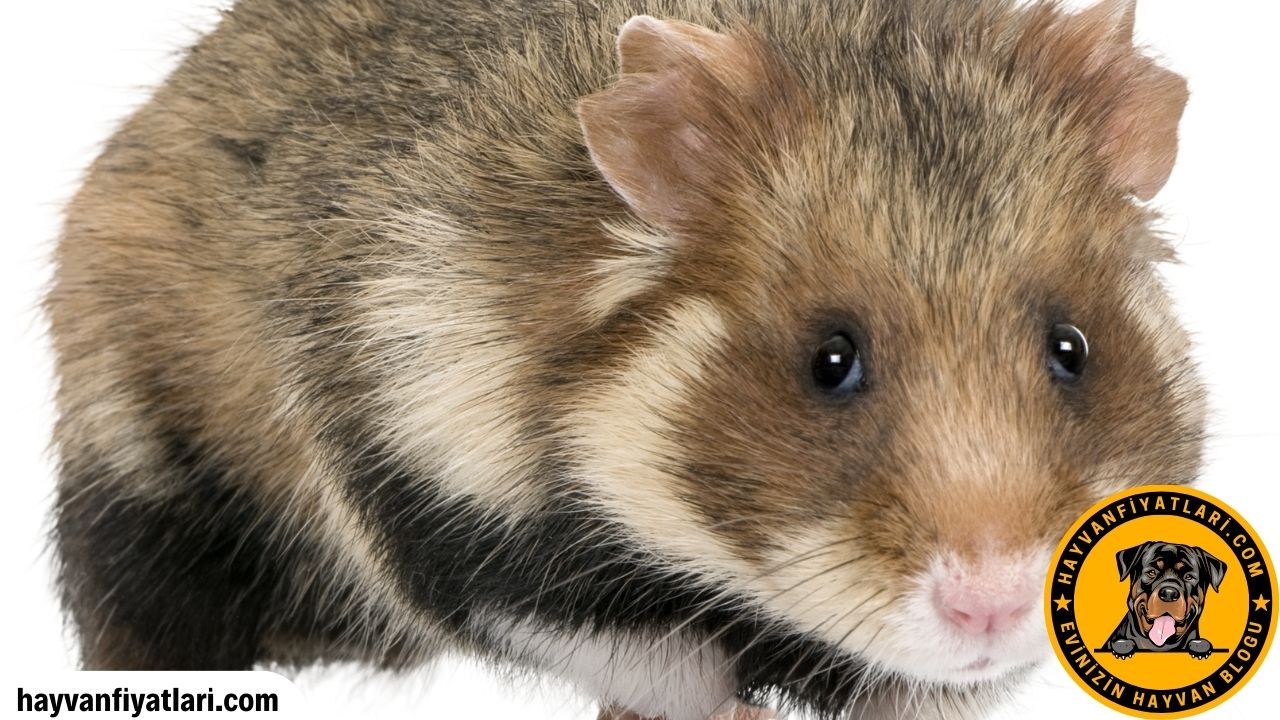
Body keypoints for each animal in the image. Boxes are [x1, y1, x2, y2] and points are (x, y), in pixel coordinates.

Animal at [46, 0, 1203, 718]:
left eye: (1071, 348)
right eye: (828, 360)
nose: (996, 605)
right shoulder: (426, 491)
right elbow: (660, 658)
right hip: (134, 474)